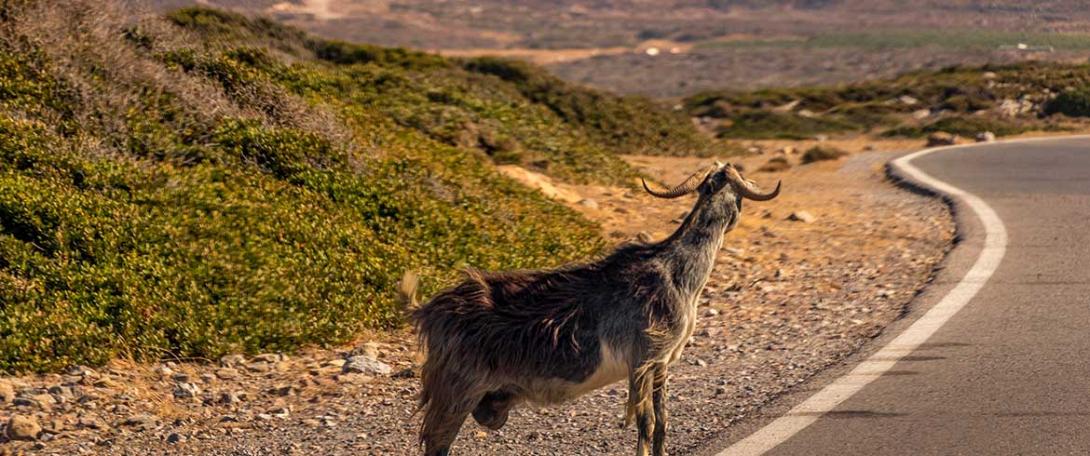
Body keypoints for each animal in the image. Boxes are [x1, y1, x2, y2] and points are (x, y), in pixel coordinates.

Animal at [409, 162, 776, 453]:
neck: (675, 270)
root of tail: (430, 311)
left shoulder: (661, 362)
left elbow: (662, 422)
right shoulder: (642, 359)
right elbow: (645, 422)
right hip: (458, 387)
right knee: (437, 441)